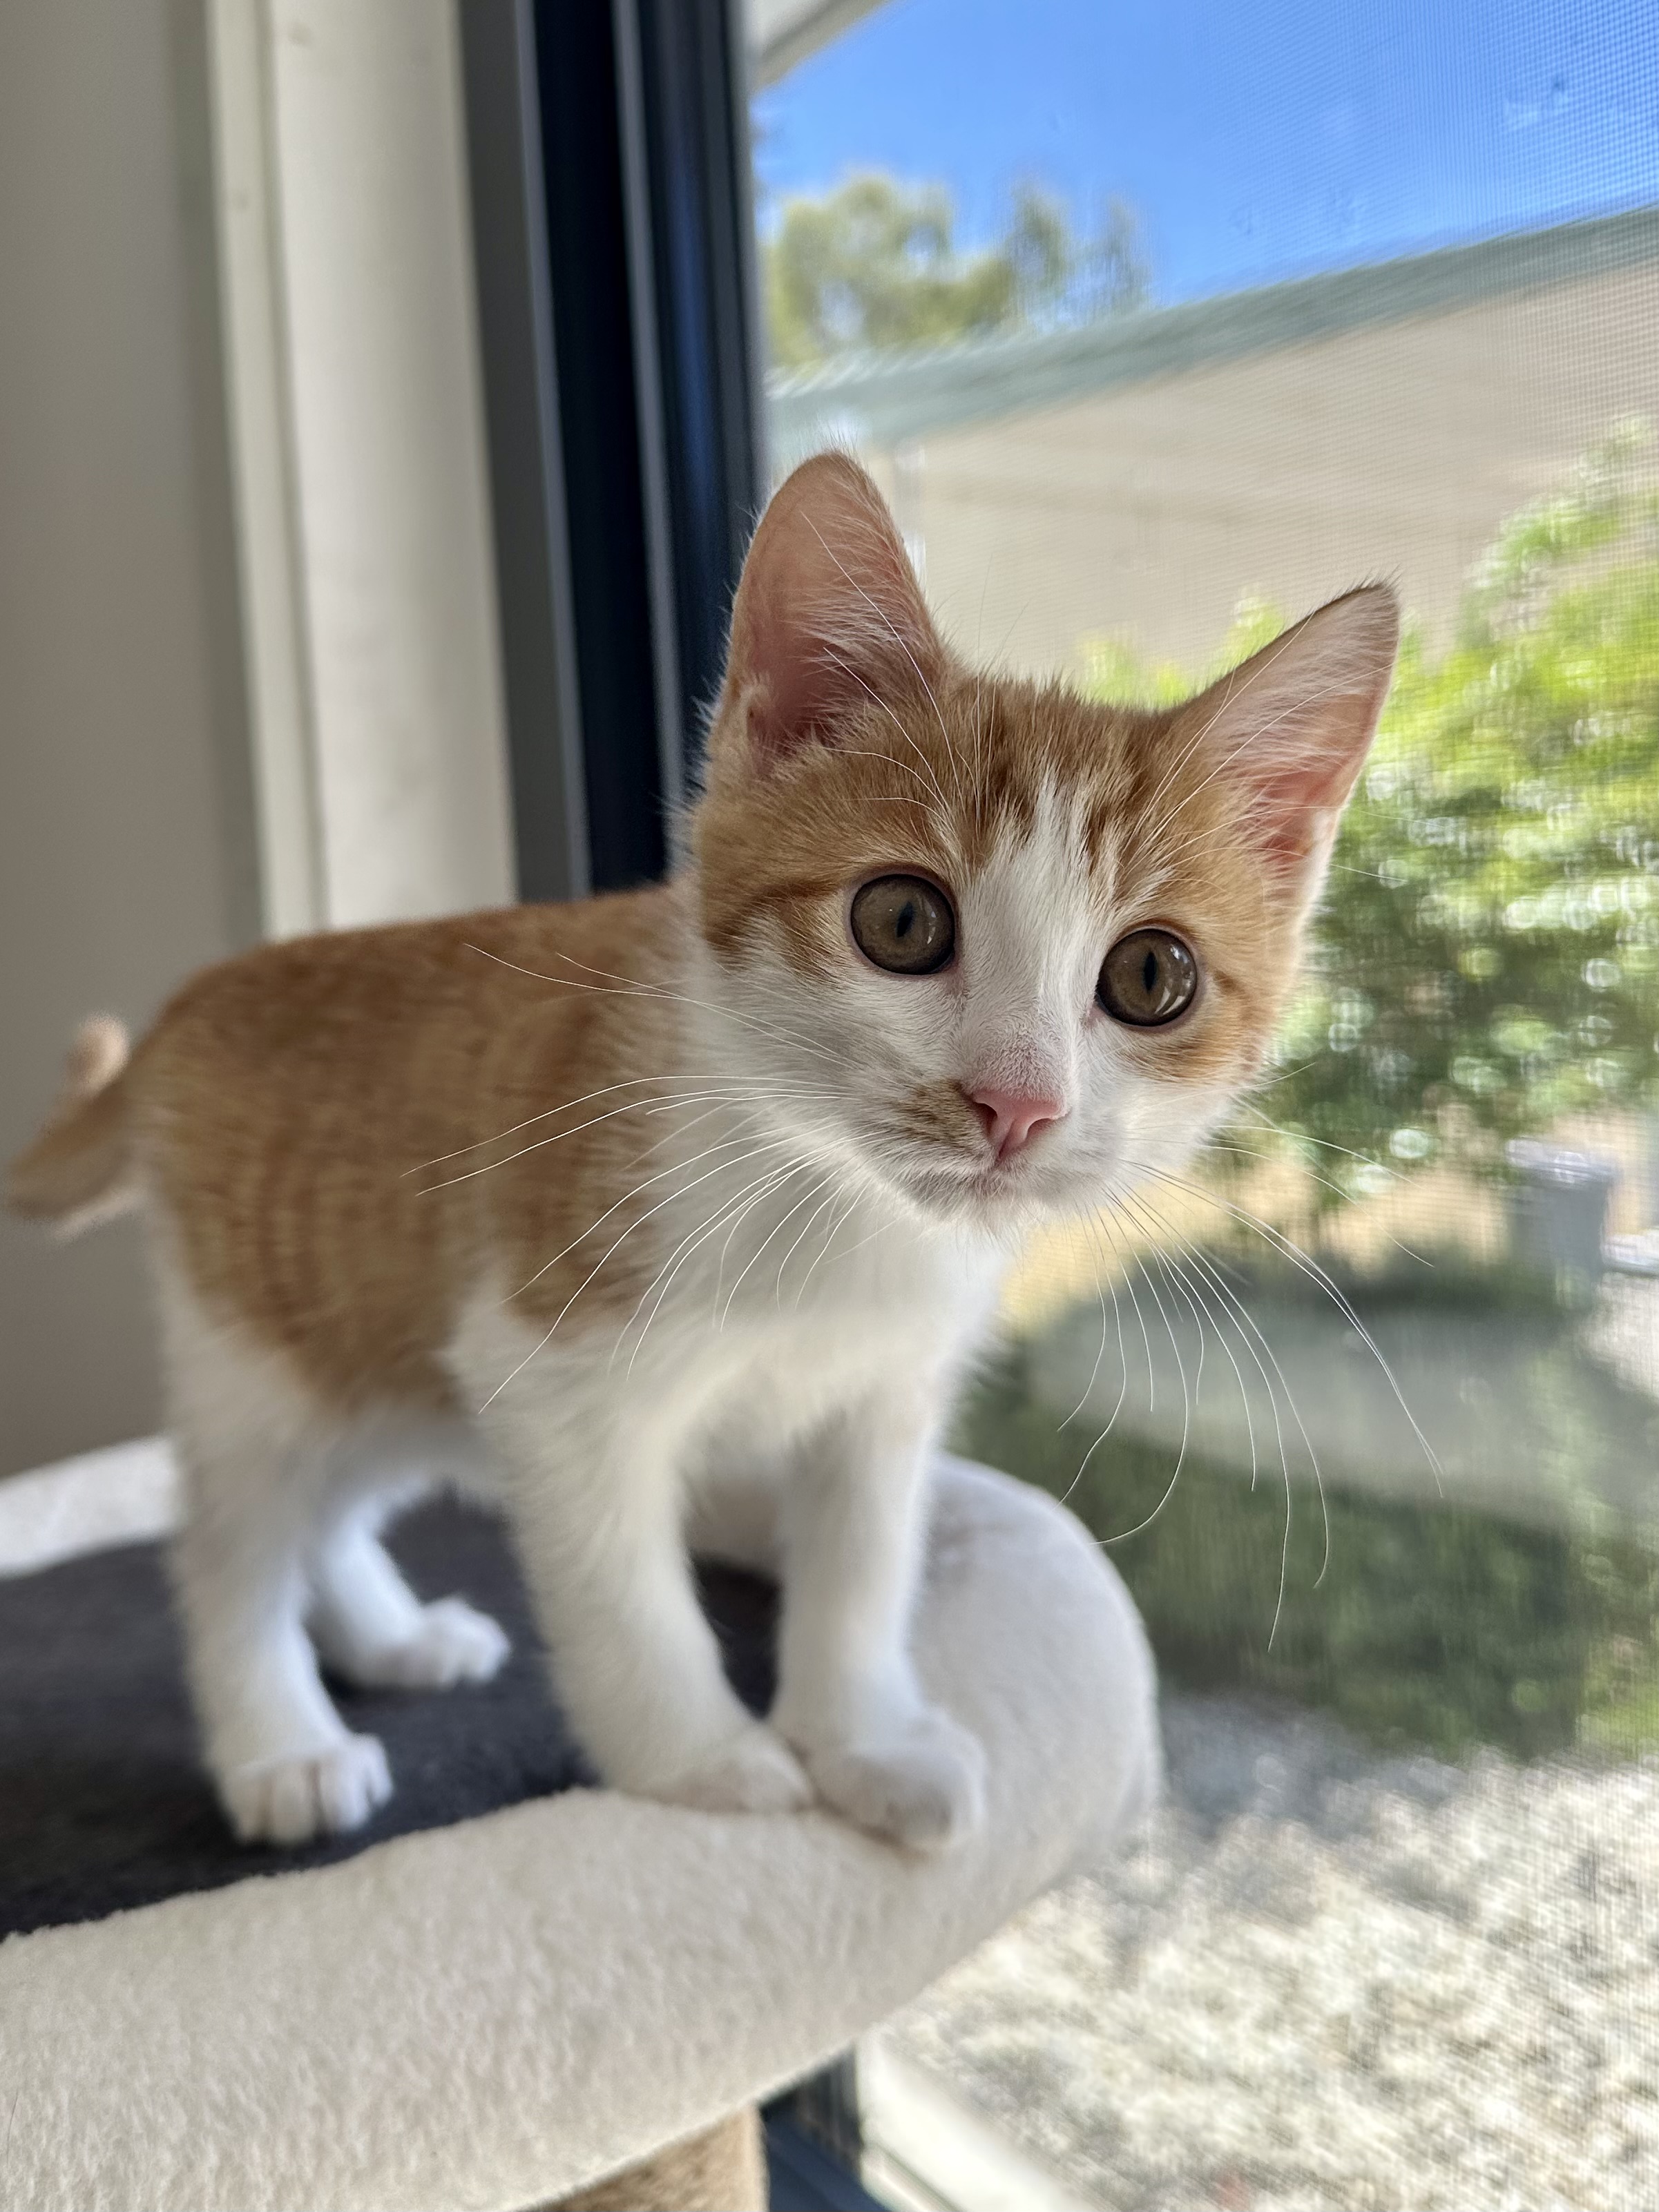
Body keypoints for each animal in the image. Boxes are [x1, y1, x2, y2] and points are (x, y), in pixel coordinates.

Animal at [8, 453, 1397, 1851]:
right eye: (901, 920)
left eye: (1151, 977)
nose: (1014, 1104)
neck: (837, 1208)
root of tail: (190, 1000)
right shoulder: (546, 1368)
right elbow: (624, 1592)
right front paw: (702, 1762)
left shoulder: (883, 1394)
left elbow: (861, 1566)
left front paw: (866, 1739)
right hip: (259, 1334)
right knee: (233, 1538)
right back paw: (282, 1740)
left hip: (375, 1342)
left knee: (331, 1501)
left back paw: (388, 1636)